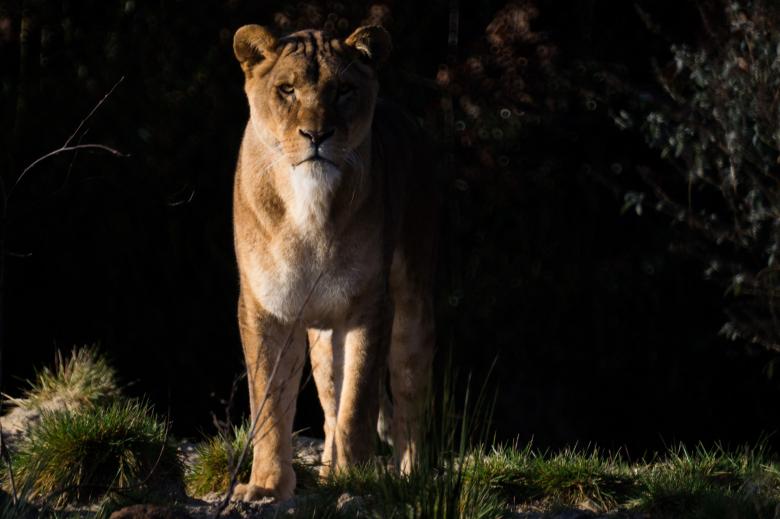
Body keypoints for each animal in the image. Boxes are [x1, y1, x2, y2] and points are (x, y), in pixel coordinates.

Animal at [231, 24, 437, 501]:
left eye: (344, 90)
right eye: (286, 89)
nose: (316, 135)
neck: (307, 203)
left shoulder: (369, 307)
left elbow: (357, 403)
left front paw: (355, 479)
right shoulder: (264, 309)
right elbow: (270, 406)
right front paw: (267, 486)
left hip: (412, 303)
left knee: (408, 393)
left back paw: (410, 476)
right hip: (323, 334)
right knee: (328, 403)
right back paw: (325, 474)